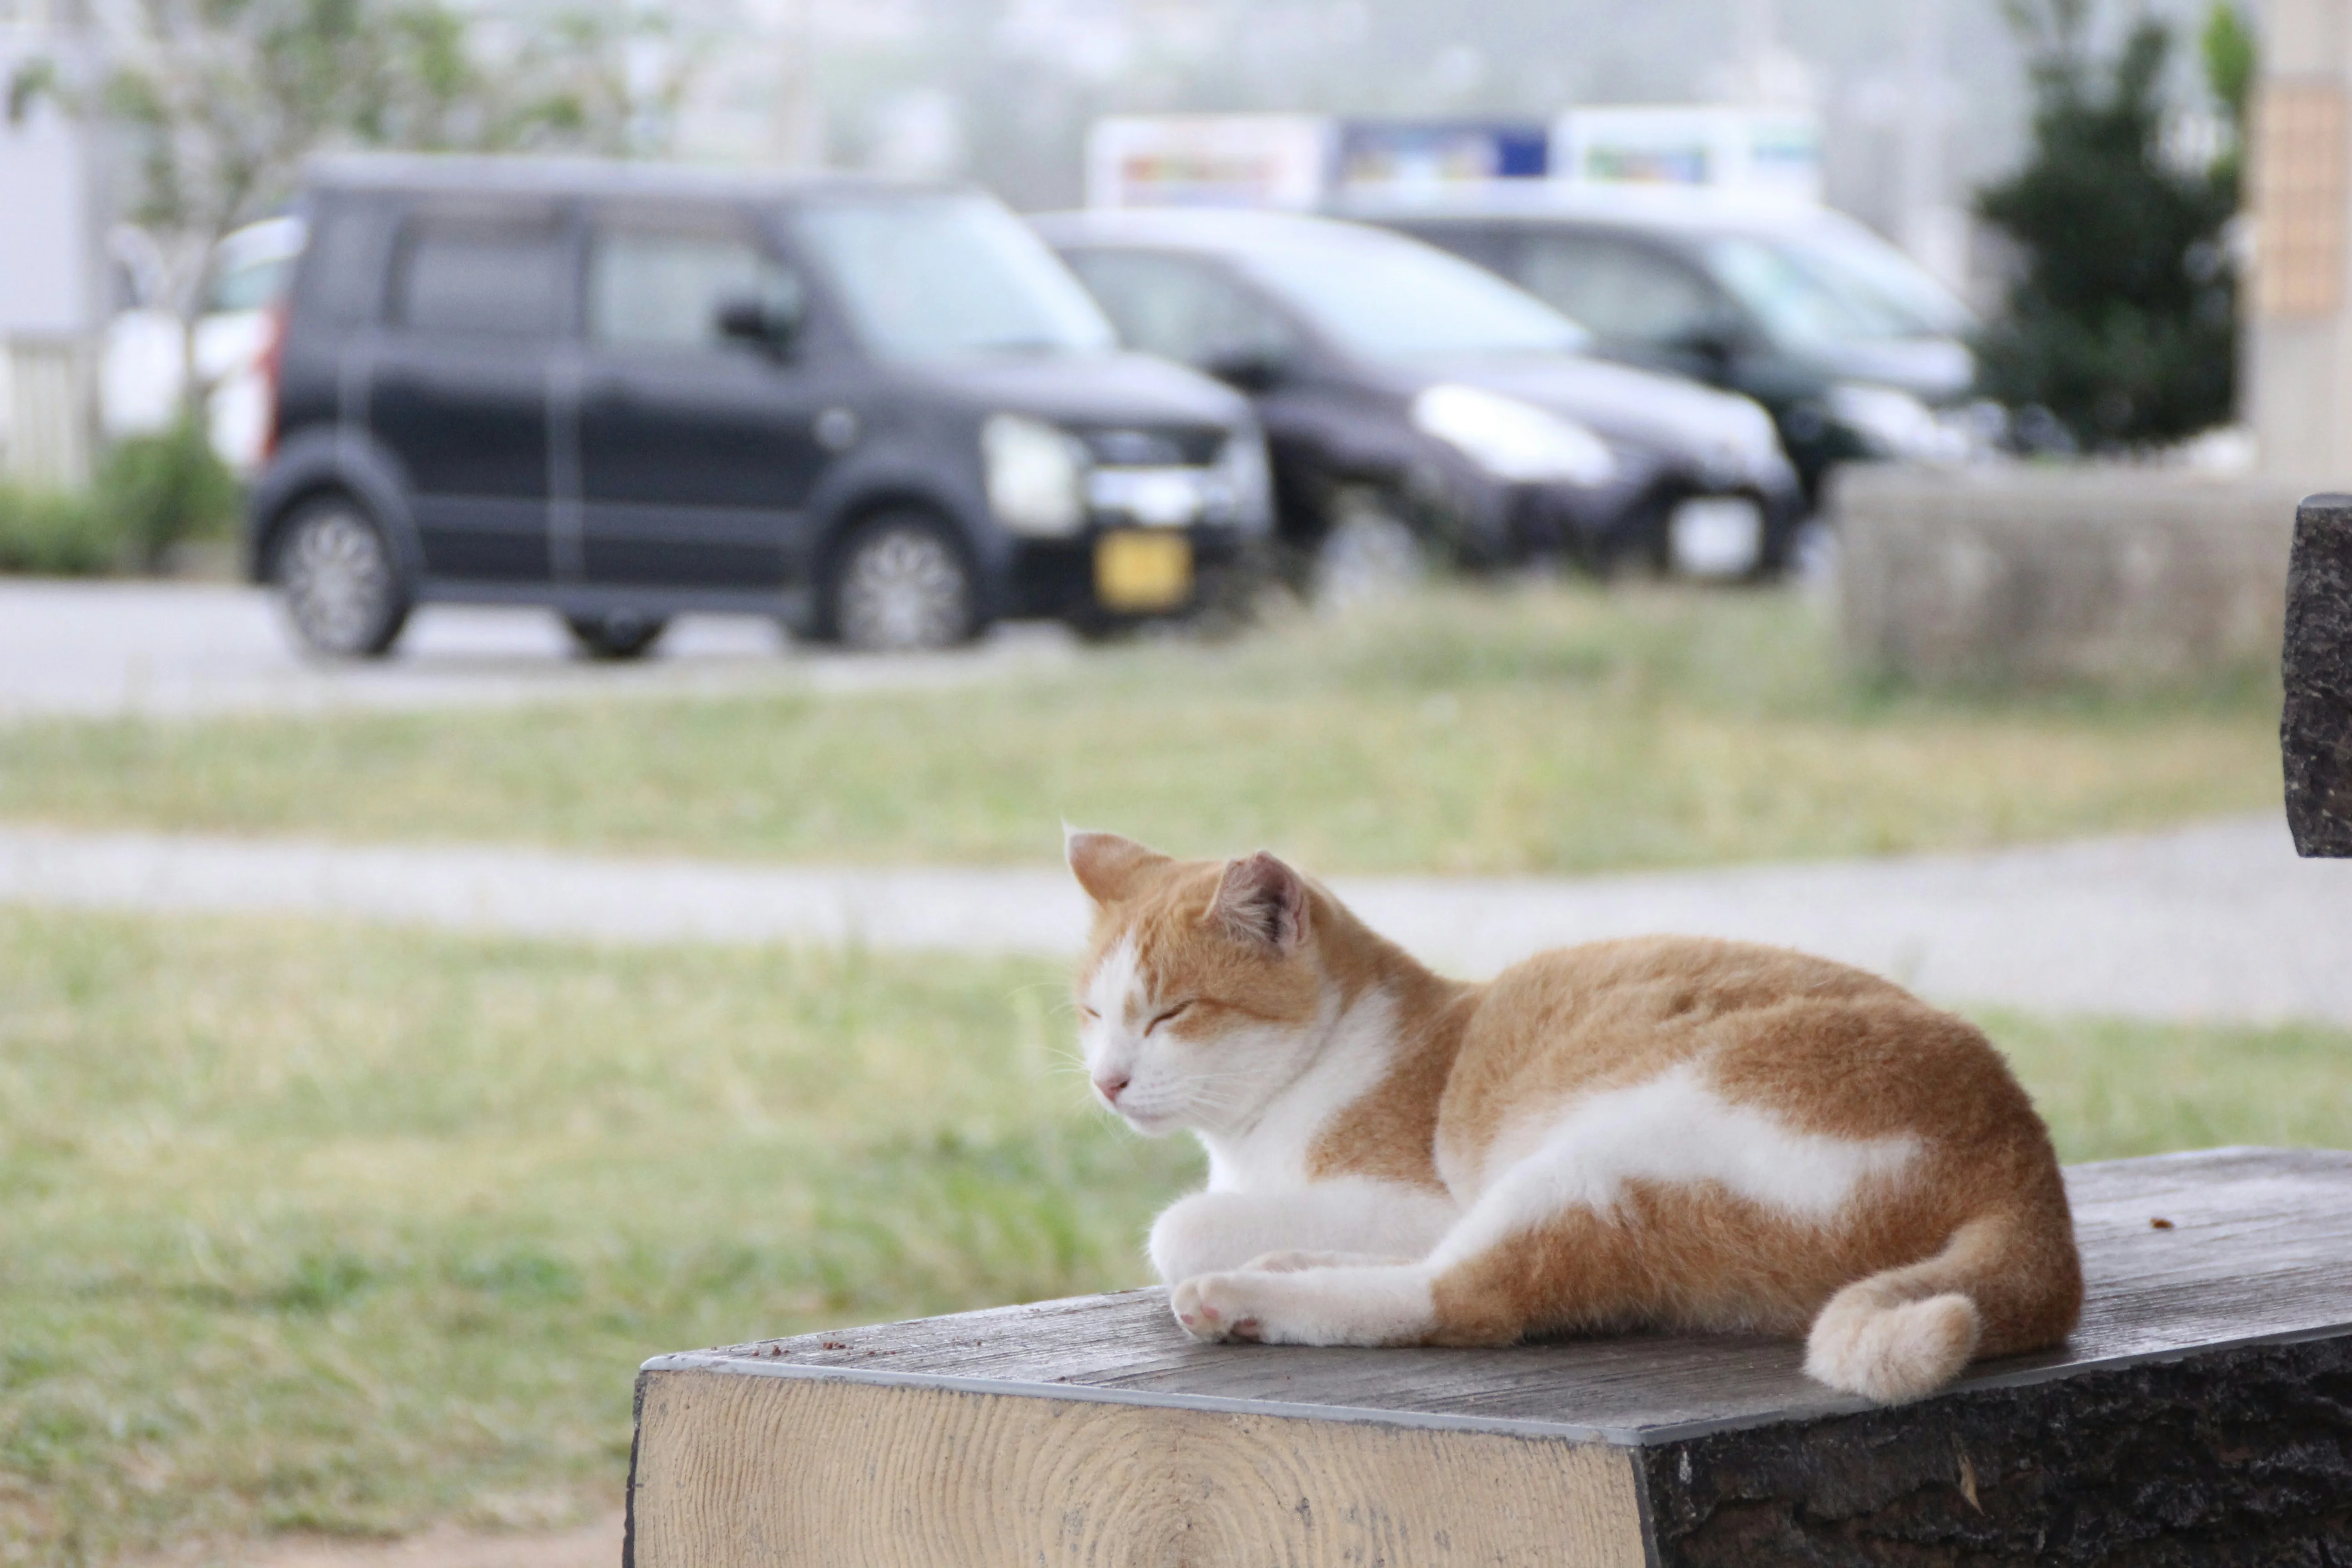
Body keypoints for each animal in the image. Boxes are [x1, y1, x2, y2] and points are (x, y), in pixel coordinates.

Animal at [1068, 832, 2079, 1410]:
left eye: (1169, 1015)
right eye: (1092, 1014)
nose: (1108, 1083)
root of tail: (2025, 1166)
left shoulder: (1416, 1197)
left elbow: (1179, 1225)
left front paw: (1216, 1243)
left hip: (1600, 1161)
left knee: (1460, 1297)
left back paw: (1247, 1297)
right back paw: (1283, 1267)